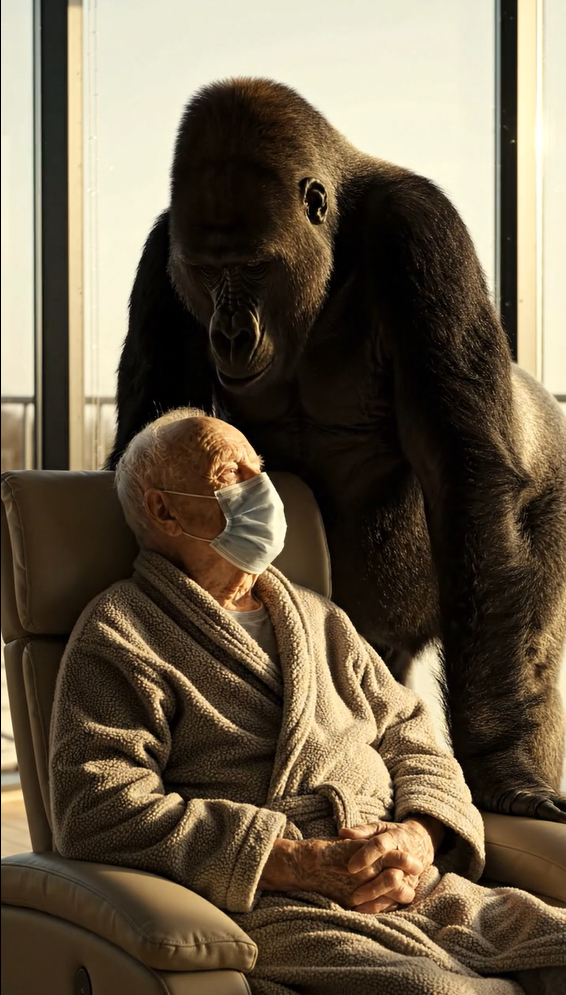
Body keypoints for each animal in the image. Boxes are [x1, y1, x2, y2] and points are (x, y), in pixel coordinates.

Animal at [108, 78, 566, 823]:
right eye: (208, 272)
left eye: (254, 267)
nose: (229, 334)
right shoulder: (162, 254)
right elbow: (151, 429)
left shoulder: (420, 232)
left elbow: (464, 471)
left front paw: (502, 759)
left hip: (550, 492)